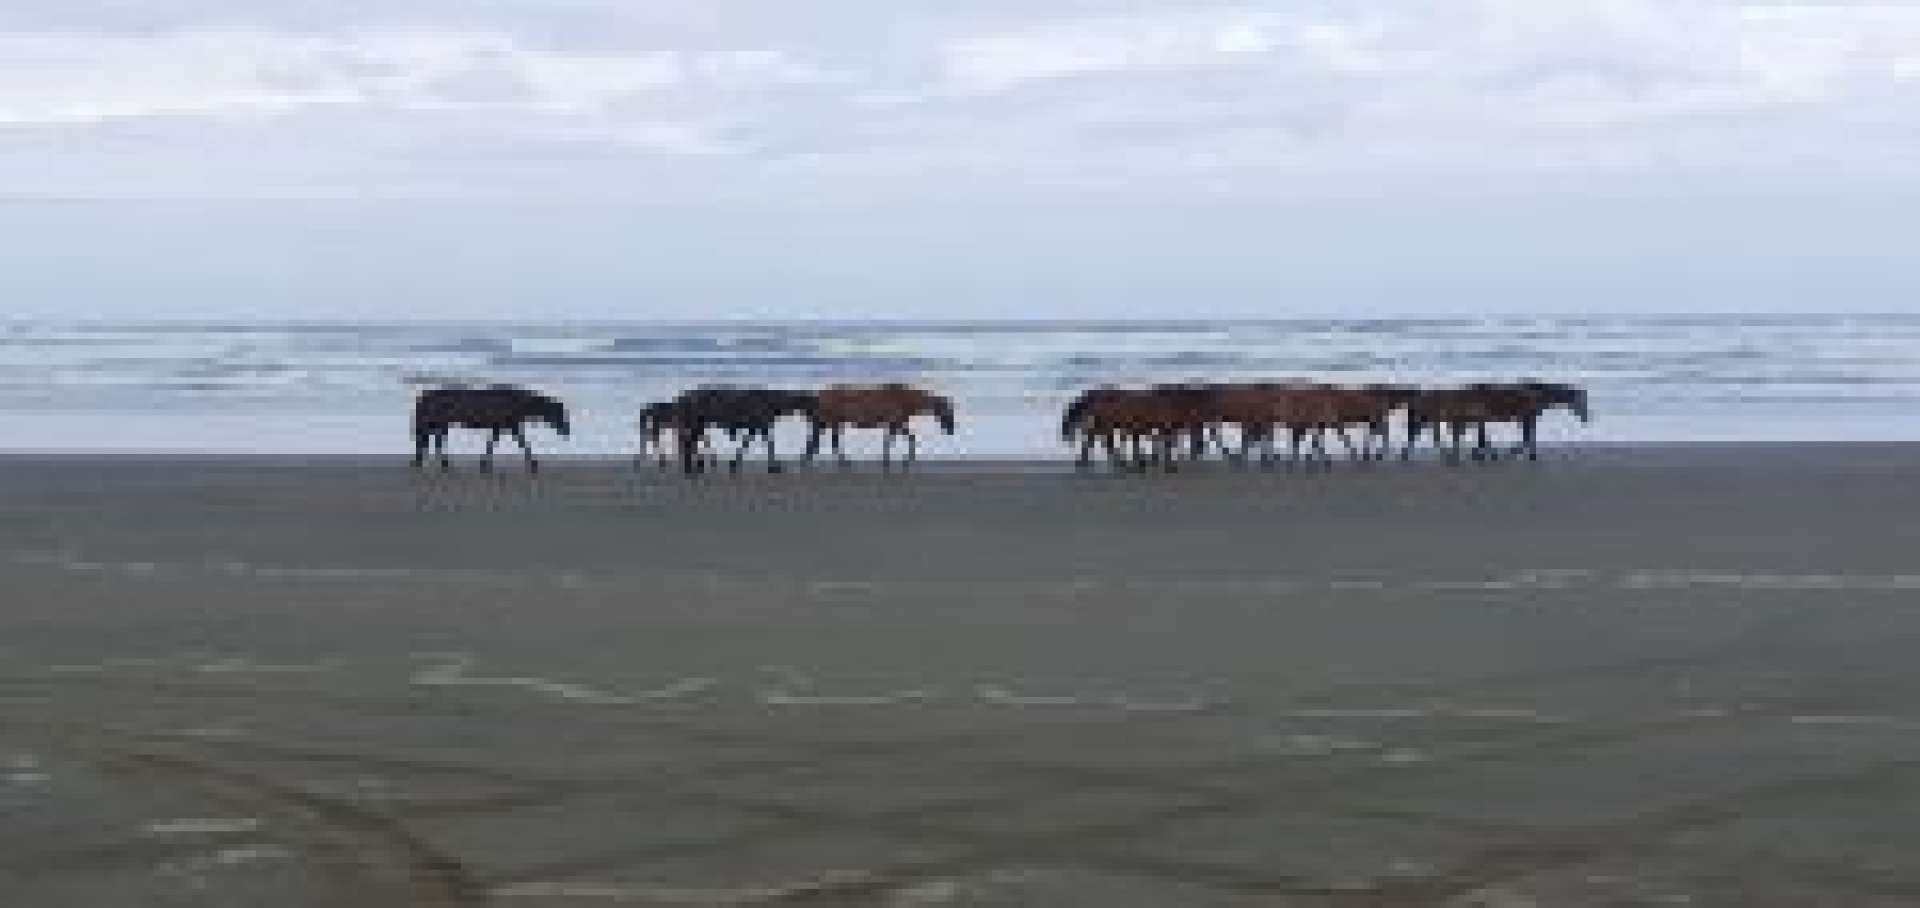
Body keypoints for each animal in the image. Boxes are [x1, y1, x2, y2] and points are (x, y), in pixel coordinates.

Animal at [412, 385, 570, 473]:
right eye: (561, 413)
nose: (567, 431)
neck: (518, 402)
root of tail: (423, 398)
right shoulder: (508, 426)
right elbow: (522, 443)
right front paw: (533, 462)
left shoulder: (502, 427)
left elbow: (494, 443)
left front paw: (484, 462)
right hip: (439, 423)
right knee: (433, 441)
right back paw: (438, 462)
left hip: (438, 424)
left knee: (431, 441)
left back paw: (435, 462)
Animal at [670, 386, 817, 475]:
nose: (812, 416)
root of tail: (682, 397)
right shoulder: (762, 425)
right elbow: (769, 443)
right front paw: (775, 466)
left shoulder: (756, 427)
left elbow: (748, 443)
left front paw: (735, 462)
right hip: (695, 423)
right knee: (687, 443)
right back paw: (690, 468)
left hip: (698, 425)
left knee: (689, 443)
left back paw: (692, 468)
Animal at [803, 384, 955, 469]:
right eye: (949, 412)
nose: (951, 430)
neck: (906, 398)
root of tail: (820, 395)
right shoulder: (896, 422)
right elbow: (901, 438)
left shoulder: (896, 423)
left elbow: (895, 439)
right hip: (831, 420)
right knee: (825, 439)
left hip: (831, 421)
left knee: (819, 438)